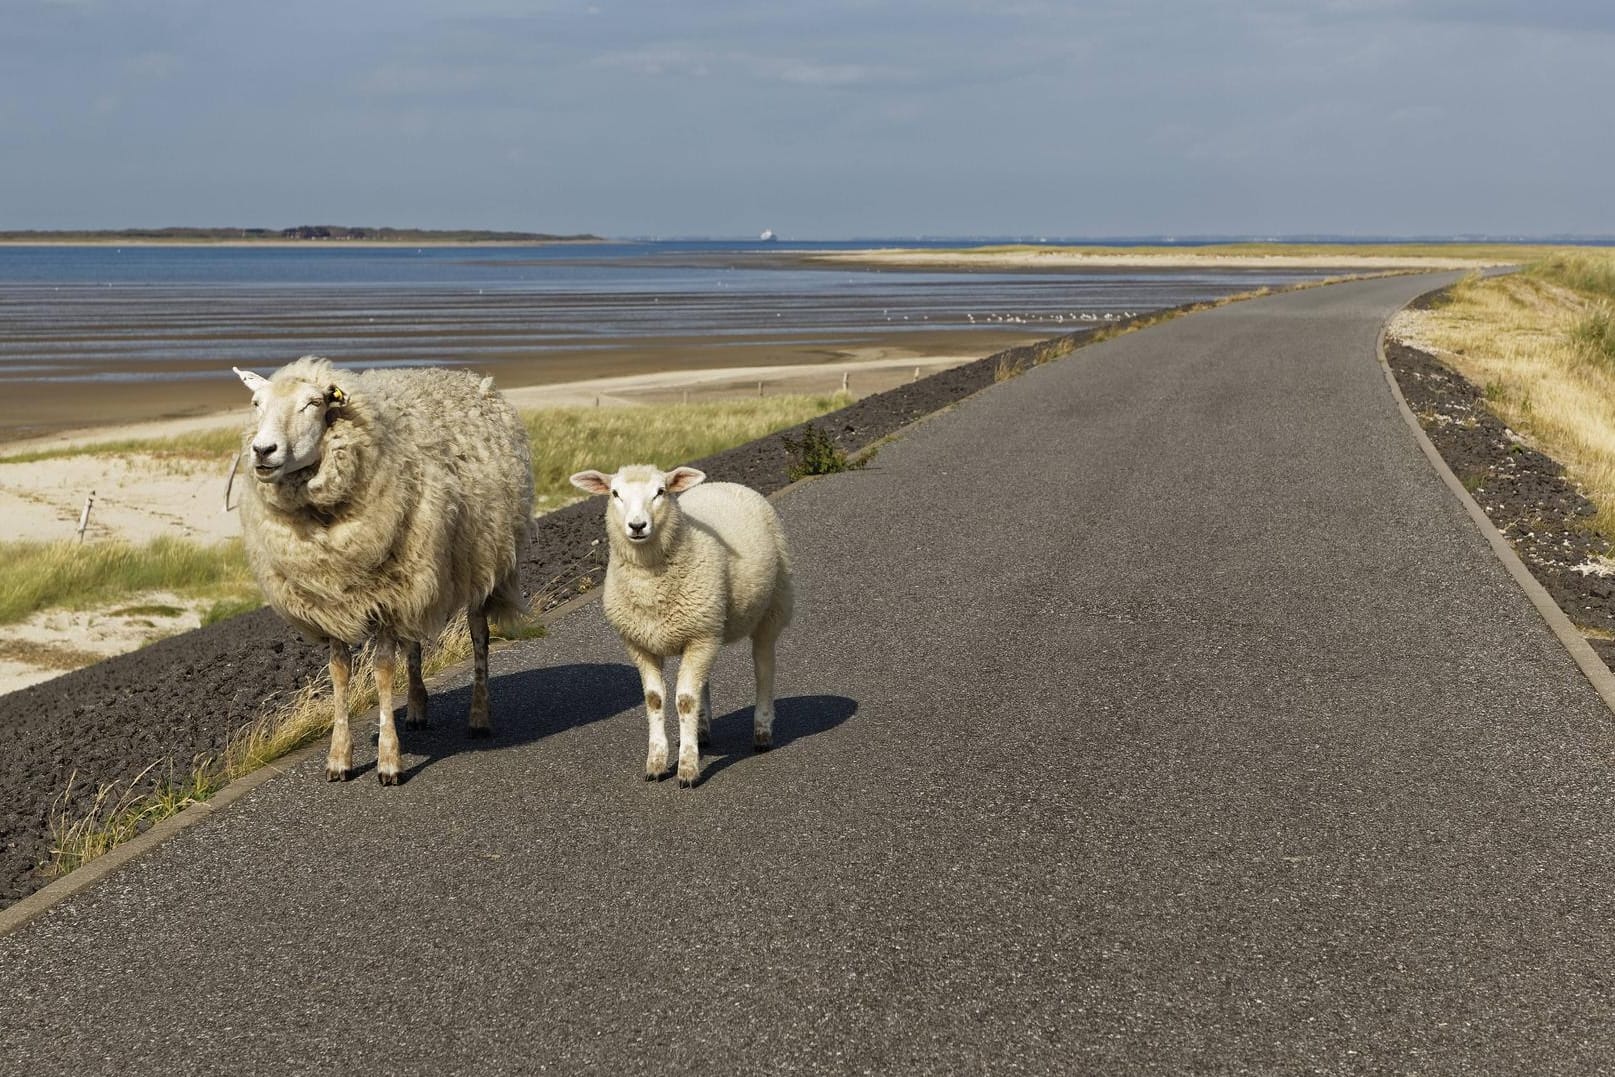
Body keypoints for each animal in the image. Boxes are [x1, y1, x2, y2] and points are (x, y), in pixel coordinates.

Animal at [235, 358, 532, 787]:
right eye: (256, 403)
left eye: (313, 404)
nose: (262, 450)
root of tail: (469, 378)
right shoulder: (333, 602)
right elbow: (339, 673)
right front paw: (339, 758)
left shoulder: (384, 597)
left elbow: (382, 672)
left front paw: (389, 760)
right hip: (417, 573)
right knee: (414, 642)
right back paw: (417, 708)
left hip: (481, 563)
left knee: (479, 637)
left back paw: (479, 716)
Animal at [568, 461, 794, 784]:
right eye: (615, 494)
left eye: (660, 492)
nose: (637, 526)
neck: (649, 585)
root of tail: (722, 483)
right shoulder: (641, 644)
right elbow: (655, 699)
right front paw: (656, 762)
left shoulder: (701, 636)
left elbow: (685, 700)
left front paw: (687, 768)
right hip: (707, 626)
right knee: (703, 682)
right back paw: (702, 730)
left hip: (771, 607)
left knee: (763, 668)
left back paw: (762, 731)